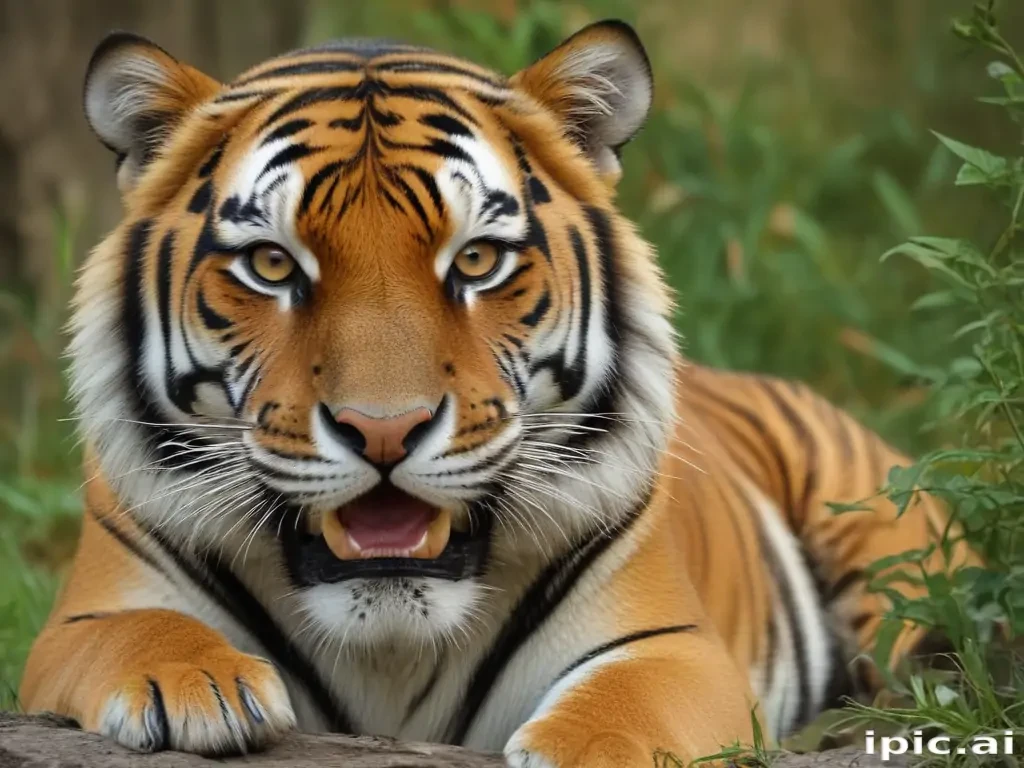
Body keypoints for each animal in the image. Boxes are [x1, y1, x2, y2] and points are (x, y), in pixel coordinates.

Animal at [20, 21, 974, 767]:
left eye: (477, 259)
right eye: (272, 264)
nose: (384, 430)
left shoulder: (675, 646)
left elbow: (626, 712)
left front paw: (586, 750)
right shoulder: (77, 621)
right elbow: (136, 630)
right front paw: (193, 682)